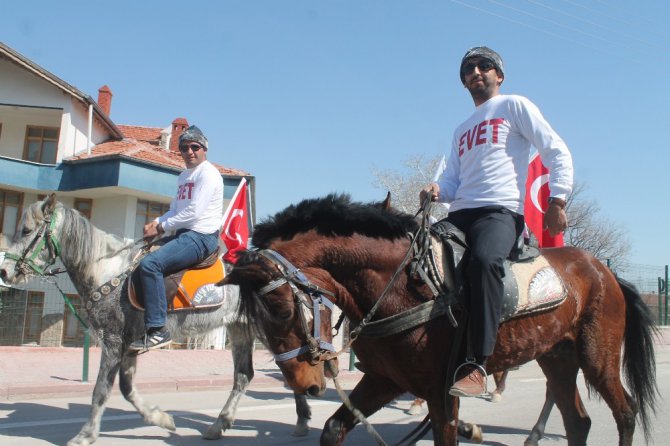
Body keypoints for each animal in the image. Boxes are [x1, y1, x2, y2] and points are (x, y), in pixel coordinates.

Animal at [0, 196, 318, 446]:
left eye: (26, 230)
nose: (5, 272)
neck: (107, 271)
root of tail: (281, 270)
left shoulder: (113, 342)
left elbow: (101, 390)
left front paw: (85, 435)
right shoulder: (129, 345)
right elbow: (127, 389)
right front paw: (161, 418)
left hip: (268, 328)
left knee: (289, 363)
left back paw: (300, 420)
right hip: (240, 329)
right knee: (245, 375)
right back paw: (222, 425)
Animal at [223, 194, 660, 446]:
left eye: (282, 309)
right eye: (256, 323)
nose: (305, 385)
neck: (403, 286)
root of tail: (605, 271)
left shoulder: (440, 391)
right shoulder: (385, 379)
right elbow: (333, 429)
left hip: (598, 357)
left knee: (625, 413)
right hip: (557, 358)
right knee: (577, 422)